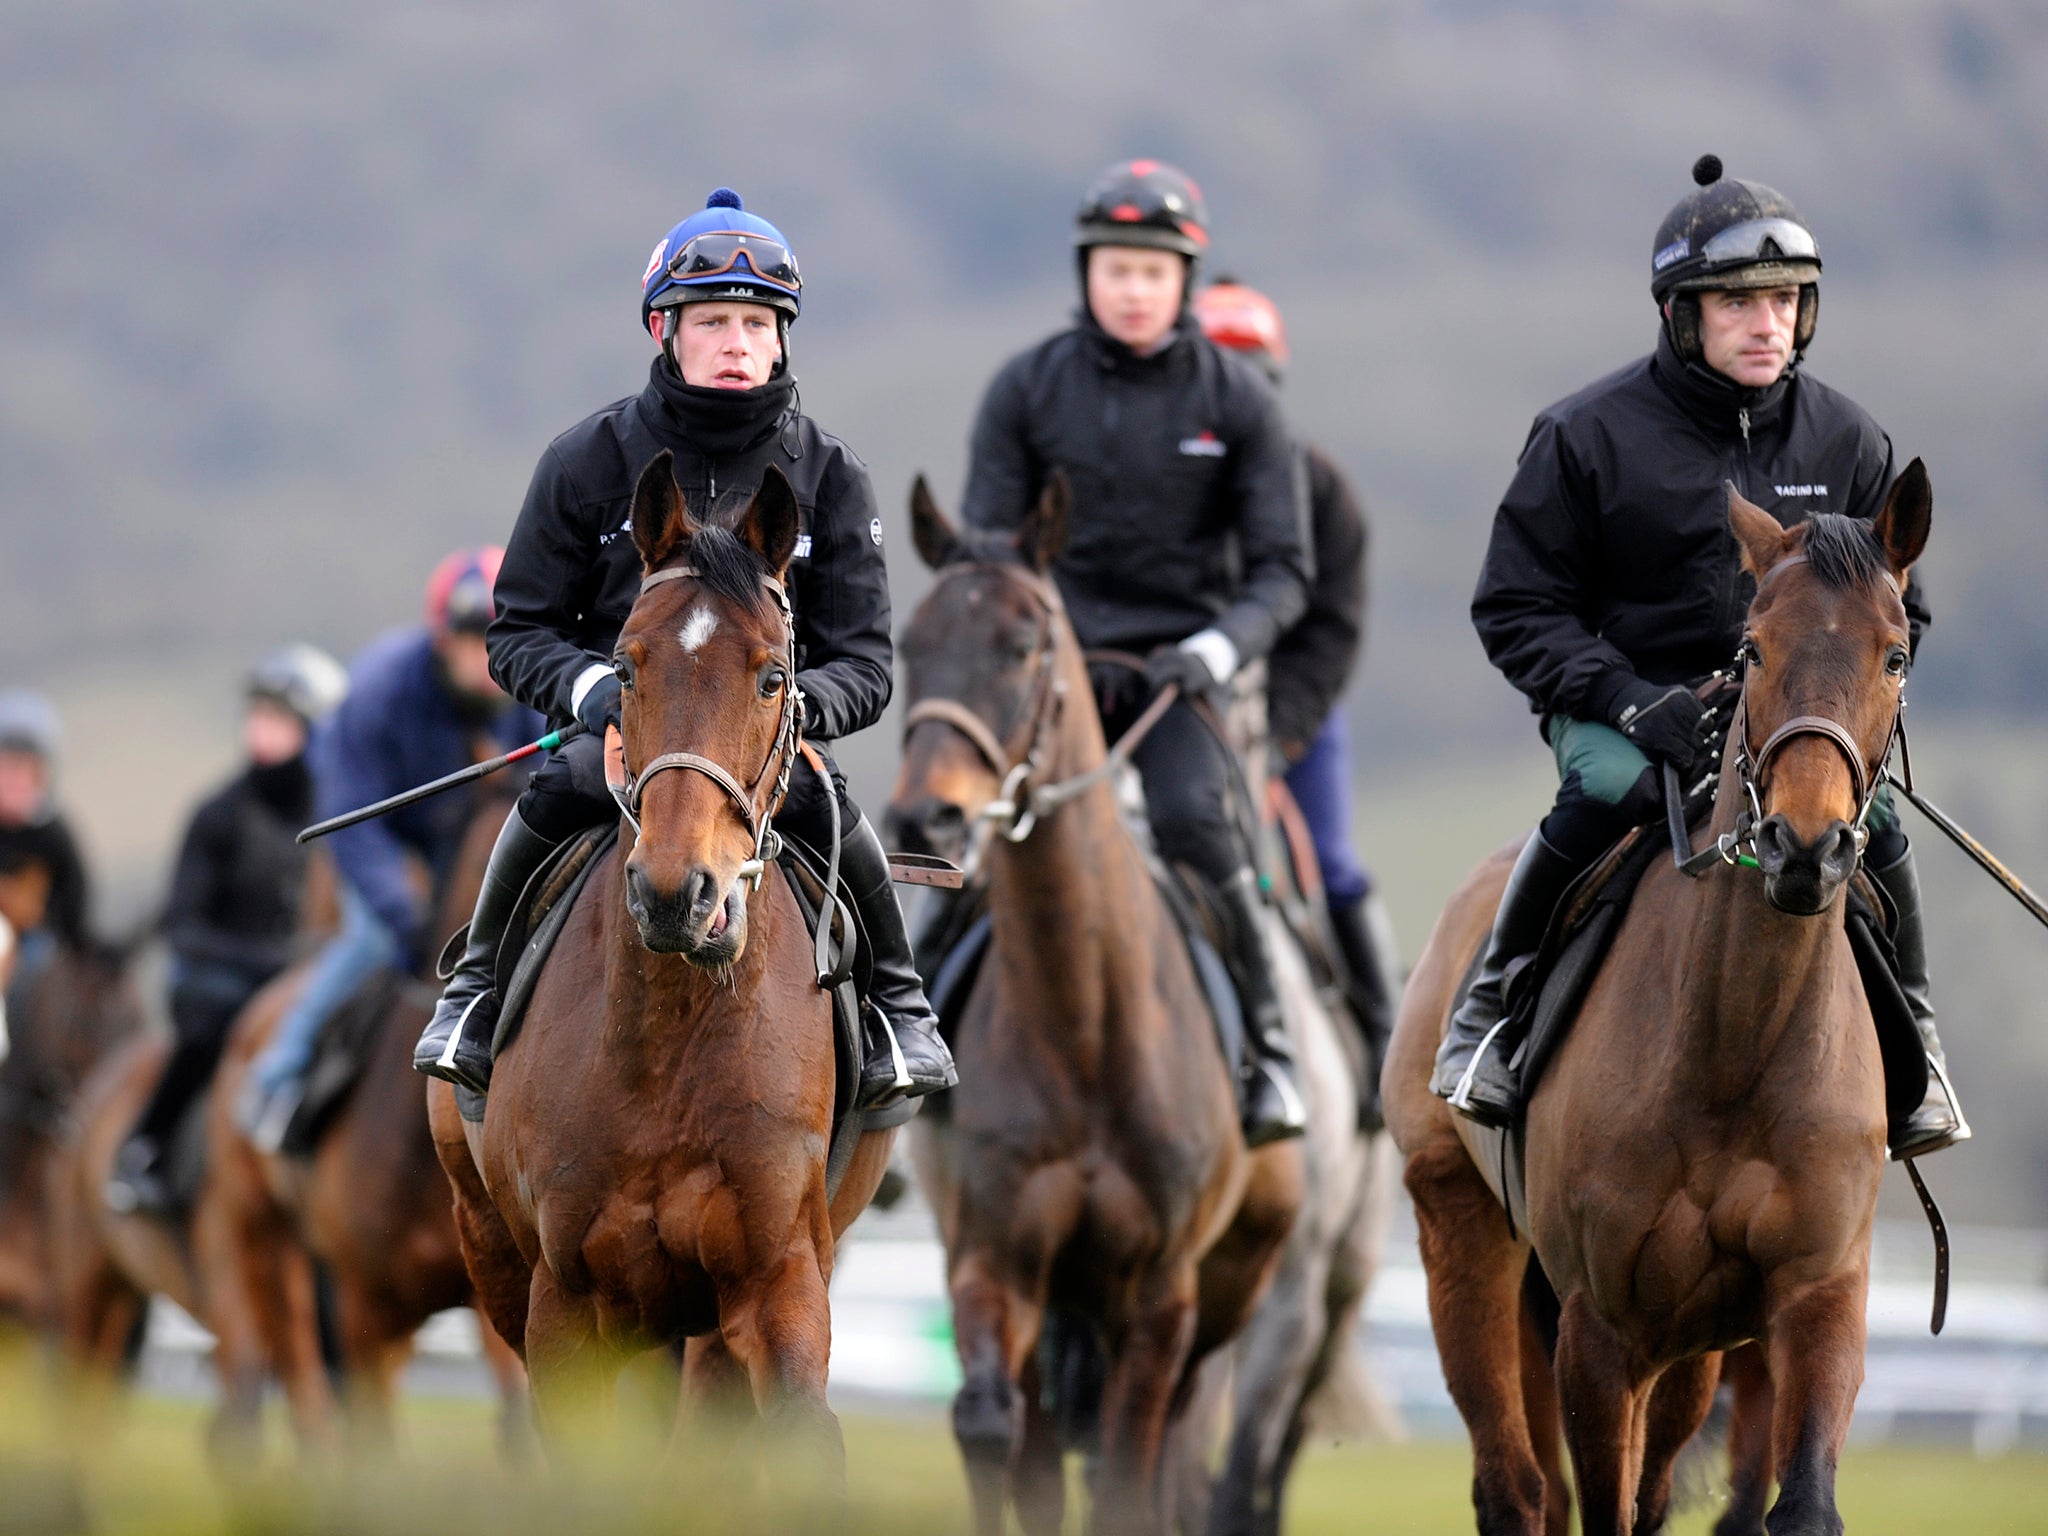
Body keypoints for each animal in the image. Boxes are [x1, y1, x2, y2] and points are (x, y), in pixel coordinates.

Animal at [430, 454, 897, 1482]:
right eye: (627, 666)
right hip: (497, 1253)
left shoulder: (777, 1278)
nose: (681, 893)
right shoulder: (566, 1306)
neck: (670, 1053)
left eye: (774, 676)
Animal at [888, 475, 1302, 1531]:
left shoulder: (1160, 1298)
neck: (1085, 1026)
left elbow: (1126, 1474)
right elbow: (989, 1429)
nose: (926, 814)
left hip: (1220, 1305)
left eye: (1022, 645)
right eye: (910, 643)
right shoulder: (995, 1259)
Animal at [1376, 473, 1933, 1536]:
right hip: (1462, 1233)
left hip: (1692, 1343)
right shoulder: (1601, 1330)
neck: (1733, 1045)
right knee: (1516, 1488)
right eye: (1752, 648)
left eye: (1895, 652)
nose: (1805, 846)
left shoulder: (1813, 1297)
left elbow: (1793, 1500)